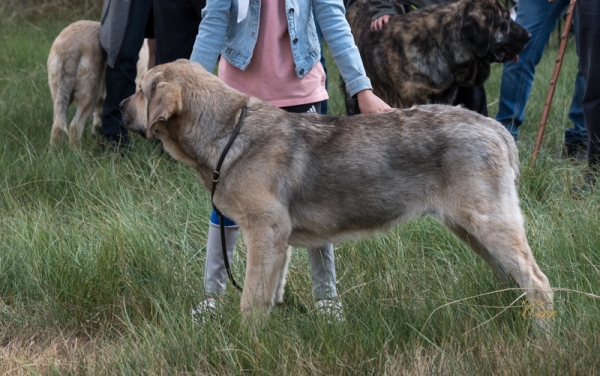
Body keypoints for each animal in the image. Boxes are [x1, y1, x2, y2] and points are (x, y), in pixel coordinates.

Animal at [47, 19, 148, 148]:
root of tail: (72, 44)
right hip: (90, 95)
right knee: (74, 127)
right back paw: (76, 152)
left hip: (60, 96)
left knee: (57, 126)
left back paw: (55, 151)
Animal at [120, 58, 552, 328]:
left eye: (140, 90)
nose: (122, 106)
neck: (228, 133)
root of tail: (497, 129)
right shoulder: (277, 243)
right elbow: (269, 293)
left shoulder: (265, 232)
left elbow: (252, 300)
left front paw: (246, 343)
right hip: (473, 231)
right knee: (516, 280)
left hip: (489, 223)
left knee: (538, 283)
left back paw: (538, 341)